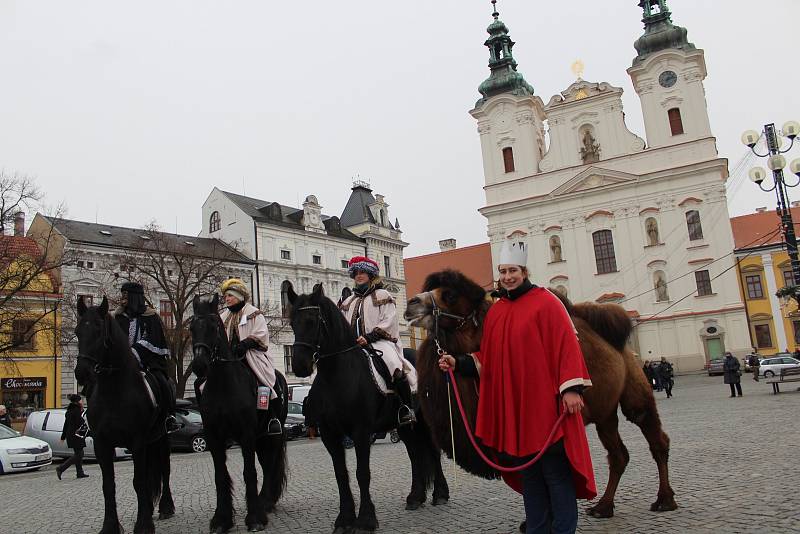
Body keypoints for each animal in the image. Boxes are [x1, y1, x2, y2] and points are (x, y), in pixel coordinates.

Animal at [74, 298, 175, 534]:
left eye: (99, 330)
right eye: (77, 332)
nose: (81, 373)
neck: (114, 392)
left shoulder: (137, 441)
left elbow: (139, 481)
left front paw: (144, 524)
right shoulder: (102, 444)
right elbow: (108, 485)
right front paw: (110, 525)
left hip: (161, 438)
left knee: (164, 469)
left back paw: (165, 506)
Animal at [189, 296, 290, 532]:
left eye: (214, 326)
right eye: (191, 327)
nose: (199, 364)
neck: (224, 386)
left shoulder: (246, 435)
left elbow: (249, 472)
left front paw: (254, 518)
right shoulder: (214, 437)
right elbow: (220, 475)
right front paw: (221, 519)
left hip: (270, 435)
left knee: (270, 465)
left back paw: (264, 503)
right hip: (261, 439)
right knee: (267, 463)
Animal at [288, 284, 450, 534]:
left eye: (312, 320)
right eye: (292, 322)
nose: (299, 366)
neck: (337, 376)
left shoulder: (361, 432)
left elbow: (362, 473)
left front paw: (365, 520)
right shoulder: (329, 435)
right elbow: (341, 474)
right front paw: (344, 519)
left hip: (425, 421)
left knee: (432, 451)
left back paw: (440, 494)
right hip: (404, 426)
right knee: (415, 455)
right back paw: (415, 497)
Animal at [404, 272, 680, 520]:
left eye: (450, 295)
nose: (411, 304)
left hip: (635, 394)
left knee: (655, 439)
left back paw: (664, 500)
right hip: (605, 414)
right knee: (618, 455)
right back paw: (603, 507)